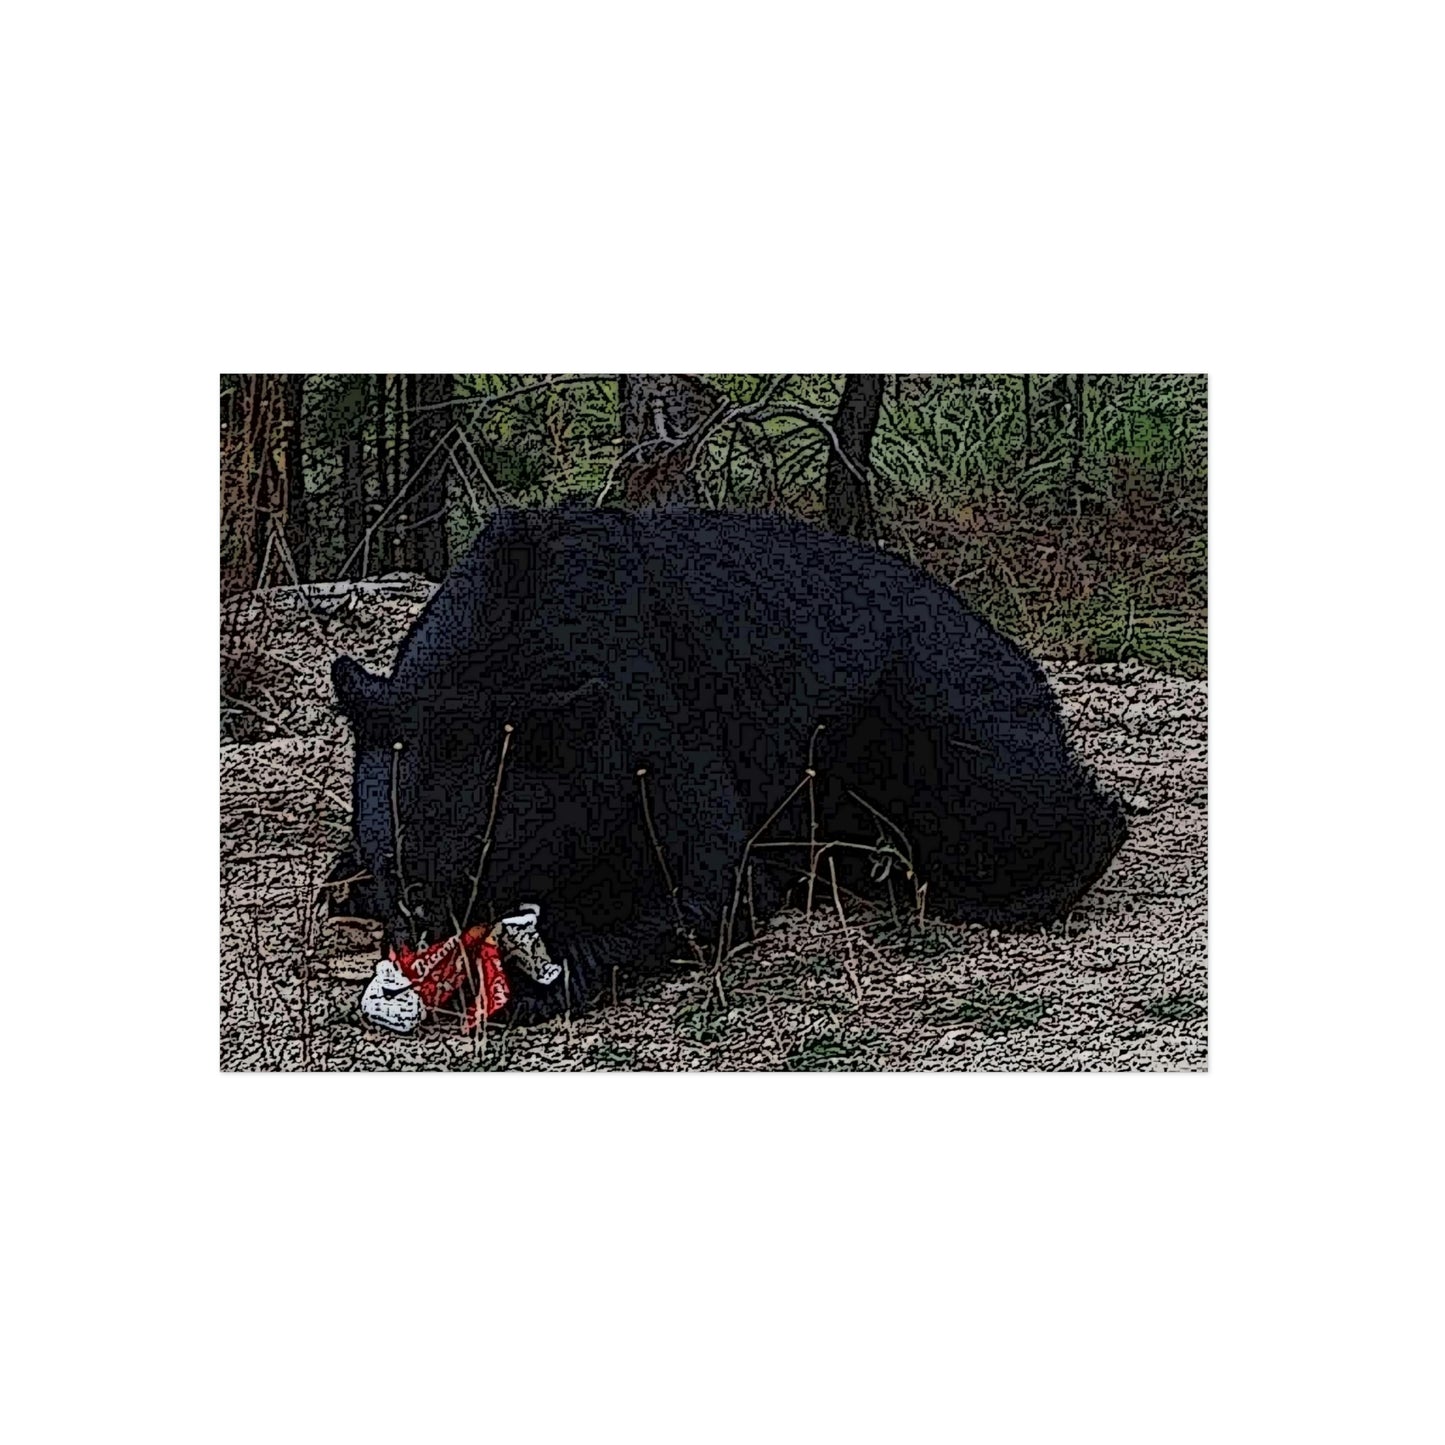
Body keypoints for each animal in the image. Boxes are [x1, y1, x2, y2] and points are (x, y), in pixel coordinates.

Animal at [331, 505, 1126, 1024]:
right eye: (399, 867)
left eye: (483, 864)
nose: (427, 940)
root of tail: (1025, 663)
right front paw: (350, 883)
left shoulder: (645, 710)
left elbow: (708, 878)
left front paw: (540, 978)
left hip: (928, 719)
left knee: (1011, 809)